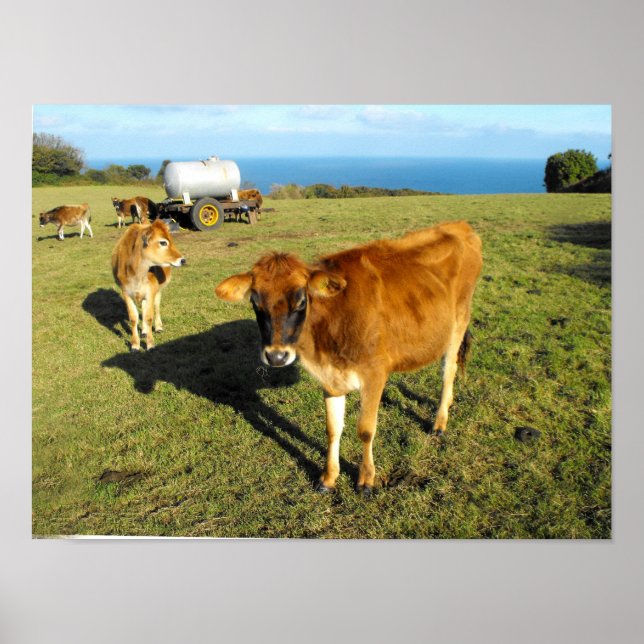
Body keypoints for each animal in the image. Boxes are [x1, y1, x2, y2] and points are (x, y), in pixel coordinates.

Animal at [112, 219, 185, 351]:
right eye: (163, 242)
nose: (183, 260)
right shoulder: (126, 292)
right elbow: (133, 318)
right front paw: (135, 345)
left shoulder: (151, 291)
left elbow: (148, 317)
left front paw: (150, 344)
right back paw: (144, 331)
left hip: (158, 290)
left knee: (156, 307)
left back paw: (158, 327)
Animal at [215, 221, 482, 496]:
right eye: (255, 302)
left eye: (301, 301)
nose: (277, 356)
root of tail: (459, 225)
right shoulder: (330, 377)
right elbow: (333, 429)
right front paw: (328, 478)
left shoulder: (375, 375)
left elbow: (365, 430)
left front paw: (366, 480)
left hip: (458, 324)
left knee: (447, 372)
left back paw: (439, 422)